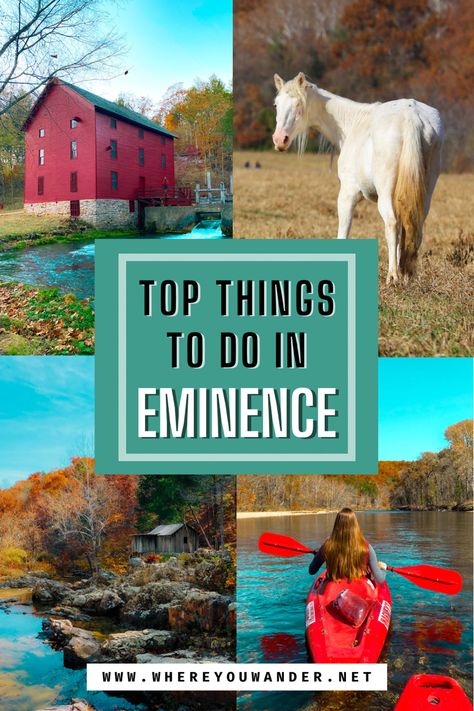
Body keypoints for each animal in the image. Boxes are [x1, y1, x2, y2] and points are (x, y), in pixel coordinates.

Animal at [272, 73, 442, 284]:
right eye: (276, 105)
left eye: (298, 105)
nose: (279, 140)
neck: (353, 122)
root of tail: (411, 117)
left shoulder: (348, 194)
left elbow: (344, 230)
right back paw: (405, 275)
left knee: (392, 223)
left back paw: (393, 276)